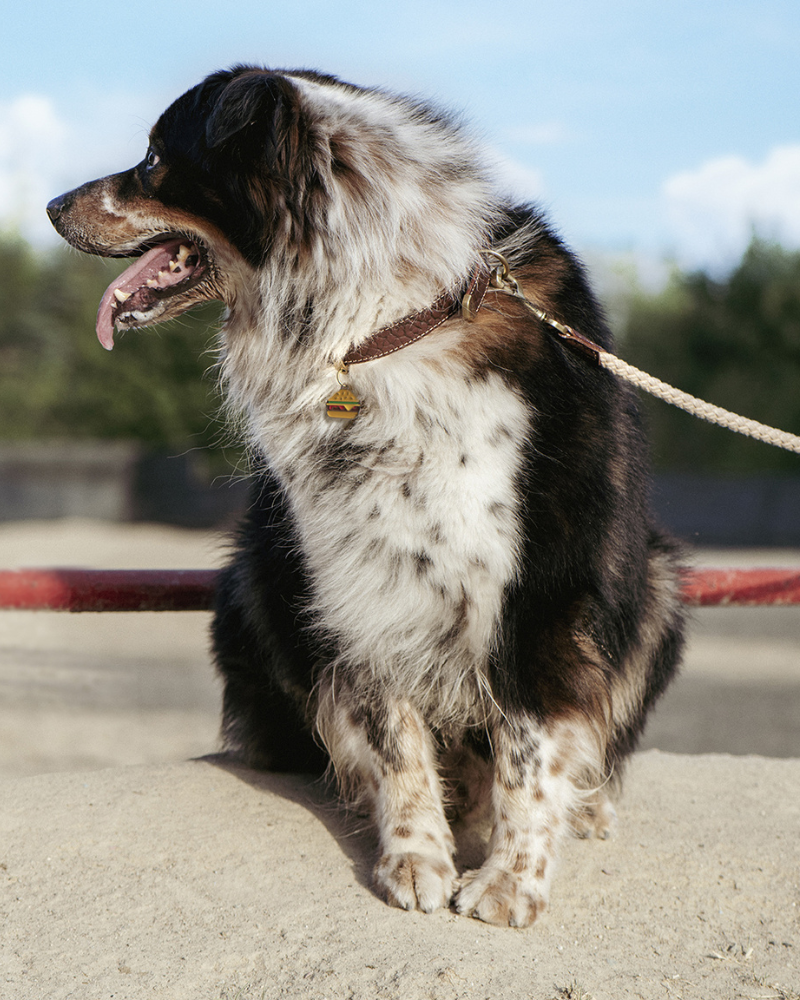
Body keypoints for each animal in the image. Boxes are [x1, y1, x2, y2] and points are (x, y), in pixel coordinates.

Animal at [47, 64, 684, 928]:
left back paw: (577, 808)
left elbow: (531, 748)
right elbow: (392, 733)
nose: (51, 206)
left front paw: (511, 878)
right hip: (257, 579)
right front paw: (416, 858)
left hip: (658, 585)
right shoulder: (357, 573)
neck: (382, 322)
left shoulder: (544, 585)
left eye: (152, 159)